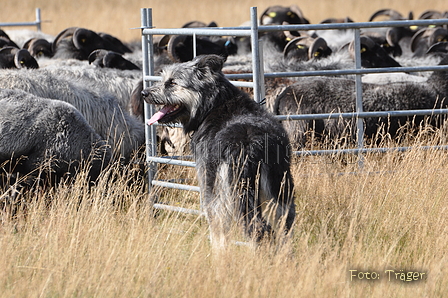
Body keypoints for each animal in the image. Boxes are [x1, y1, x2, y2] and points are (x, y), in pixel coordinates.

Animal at [141, 54, 294, 247]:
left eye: (172, 82)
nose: (144, 93)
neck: (214, 104)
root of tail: (250, 144)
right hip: (280, 193)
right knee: (283, 230)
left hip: (221, 195)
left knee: (236, 231)